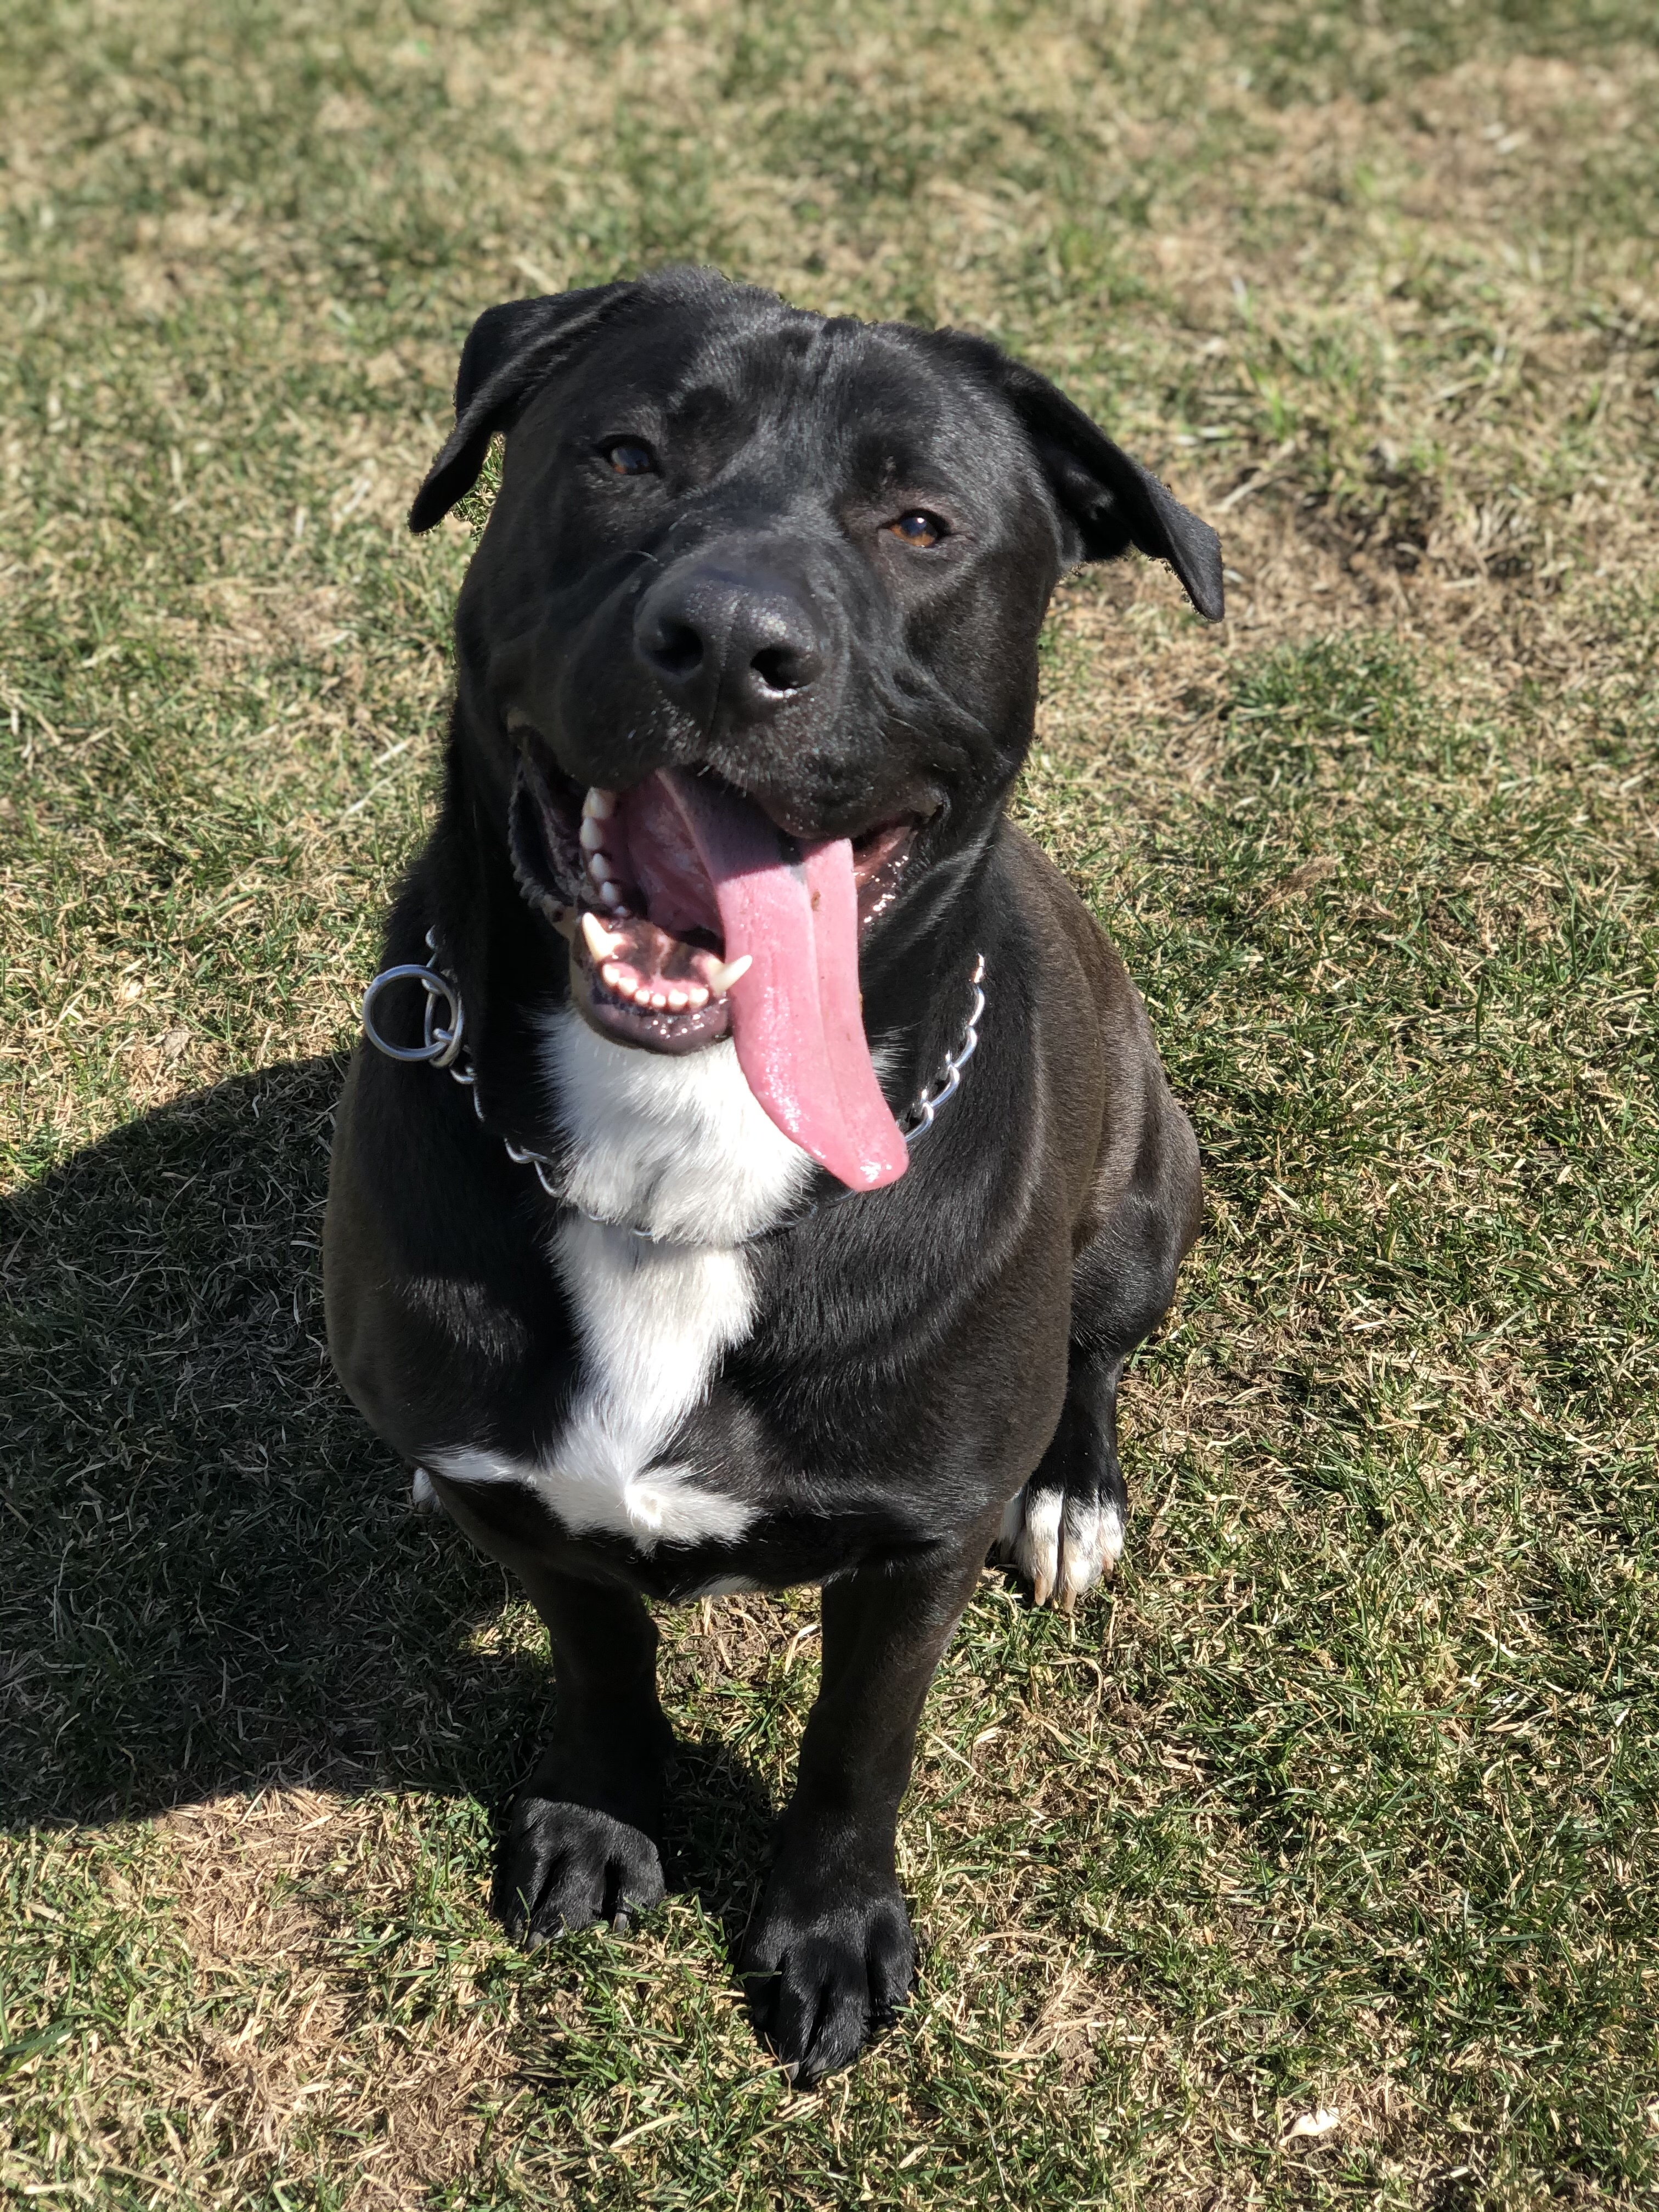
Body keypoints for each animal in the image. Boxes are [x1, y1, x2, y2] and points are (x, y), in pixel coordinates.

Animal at [325, 267, 1212, 2079]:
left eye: (920, 522)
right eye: (624, 453)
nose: (731, 640)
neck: (681, 1149)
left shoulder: (918, 1546)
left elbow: (858, 1747)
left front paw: (830, 1929)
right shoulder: (534, 1510)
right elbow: (600, 1653)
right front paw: (601, 1819)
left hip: (1147, 1187)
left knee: (1095, 1350)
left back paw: (1075, 1492)